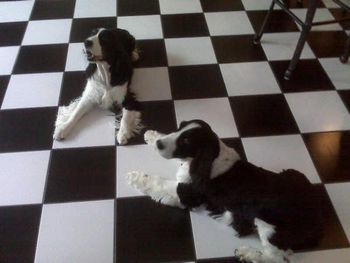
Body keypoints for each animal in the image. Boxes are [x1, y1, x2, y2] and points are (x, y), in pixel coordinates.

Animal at [126, 120, 322, 263]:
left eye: (187, 141)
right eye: (179, 128)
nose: (159, 144)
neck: (212, 159)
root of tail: (317, 220)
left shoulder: (188, 192)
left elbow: (157, 181)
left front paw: (133, 176)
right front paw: (152, 135)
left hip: (267, 224)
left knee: (275, 257)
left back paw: (247, 254)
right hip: (293, 173)